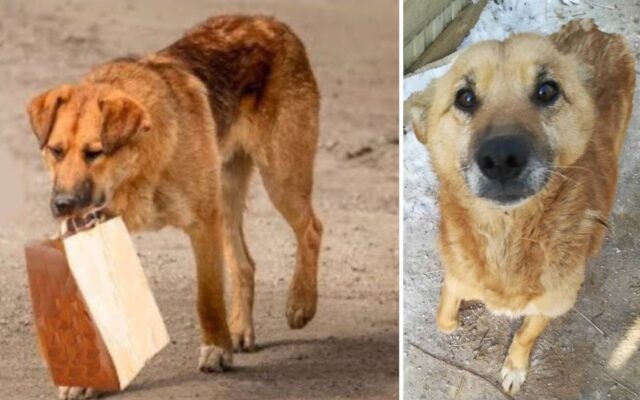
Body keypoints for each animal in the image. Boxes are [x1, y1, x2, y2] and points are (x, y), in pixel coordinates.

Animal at [26, 15, 322, 400]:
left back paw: (301, 303)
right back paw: (240, 329)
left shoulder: (203, 223)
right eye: (56, 151)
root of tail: (272, 23)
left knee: (311, 229)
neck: (138, 168)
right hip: (227, 197)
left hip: (279, 178)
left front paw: (216, 349)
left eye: (95, 153)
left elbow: (207, 298)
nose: (62, 205)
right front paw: (84, 378)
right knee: (245, 264)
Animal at [410, 20, 636, 396]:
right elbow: (445, 310)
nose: (502, 158)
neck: (507, 236)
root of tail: (596, 29)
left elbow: (526, 336)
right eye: (465, 97)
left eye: (547, 91)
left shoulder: (553, 303)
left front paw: (515, 367)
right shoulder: (457, 274)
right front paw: (450, 321)